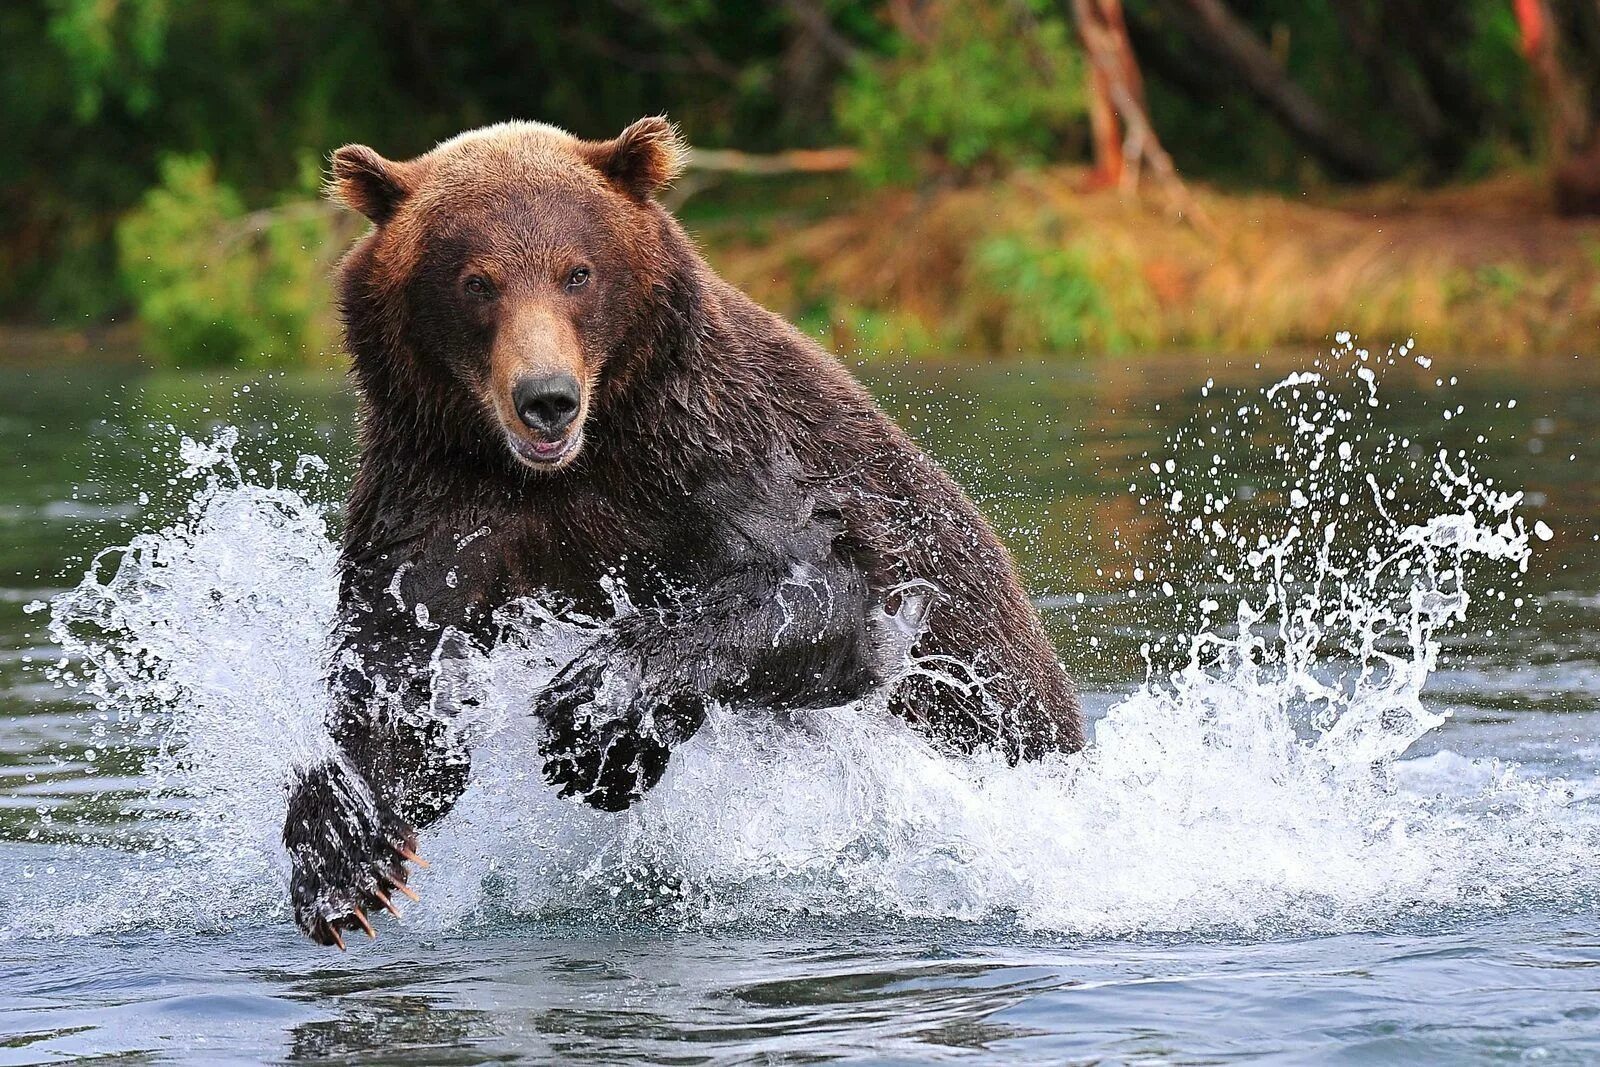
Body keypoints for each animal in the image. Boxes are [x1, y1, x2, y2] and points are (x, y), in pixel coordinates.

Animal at [288, 116, 1088, 947]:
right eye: (478, 281)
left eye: (577, 273)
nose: (547, 398)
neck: (572, 466)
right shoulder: (438, 493)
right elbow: (398, 662)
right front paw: (343, 857)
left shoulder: (715, 451)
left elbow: (818, 591)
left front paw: (590, 716)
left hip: (991, 692)